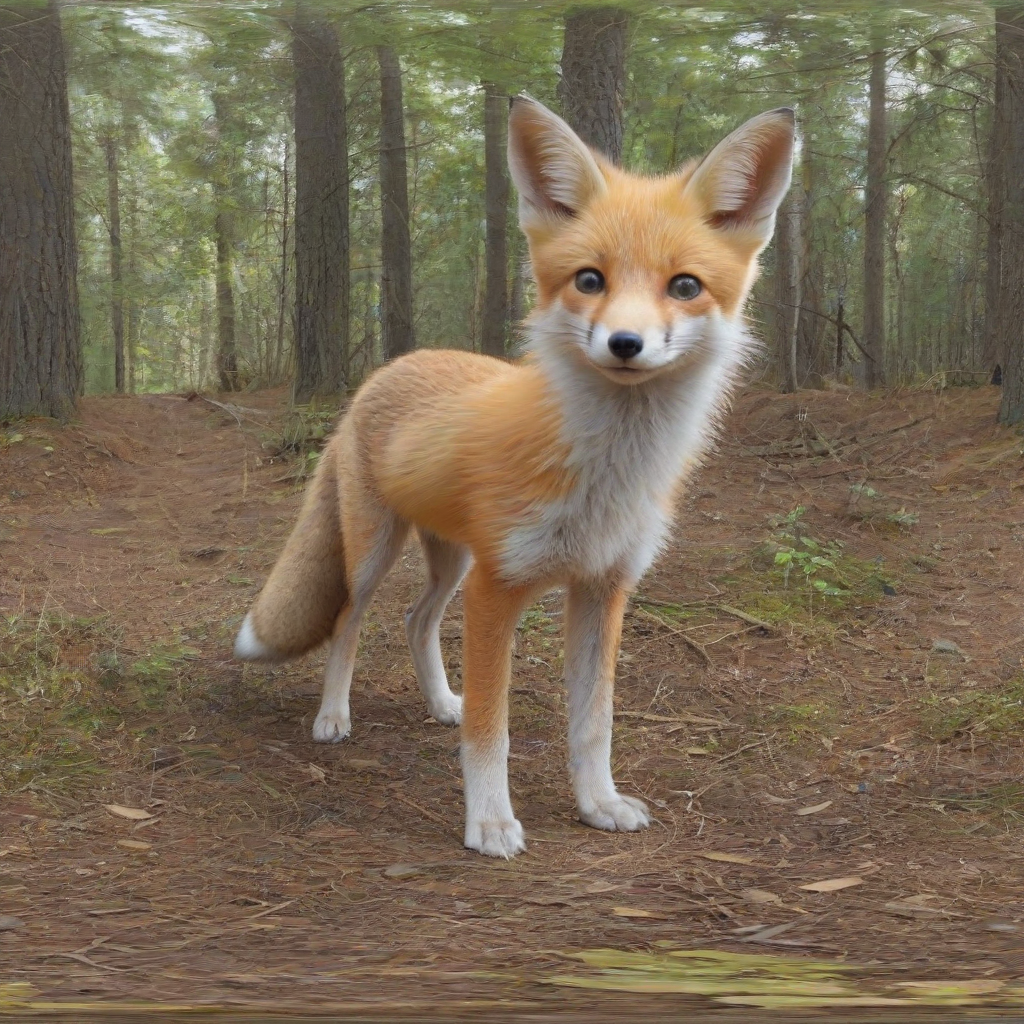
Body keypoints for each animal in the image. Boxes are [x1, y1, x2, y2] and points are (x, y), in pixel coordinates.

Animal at [234, 95, 794, 858]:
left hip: (453, 560)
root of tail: (389, 369)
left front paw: (597, 803)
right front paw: (490, 821)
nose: (625, 343)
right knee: (350, 621)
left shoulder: (603, 588)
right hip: (382, 551)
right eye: (589, 279)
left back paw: (440, 701)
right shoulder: (498, 589)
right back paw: (333, 715)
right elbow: (490, 731)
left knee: (415, 620)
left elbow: (593, 723)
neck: (607, 473)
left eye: (685, 286)